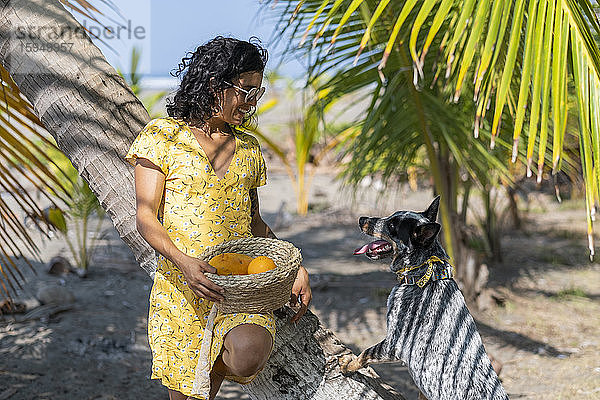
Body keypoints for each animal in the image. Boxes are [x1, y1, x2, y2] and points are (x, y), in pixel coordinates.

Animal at [340, 198, 508, 400]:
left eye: (391, 225)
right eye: (390, 217)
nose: (361, 219)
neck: (425, 277)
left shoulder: (393, 344)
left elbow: (365, 353)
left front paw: (348, 365)